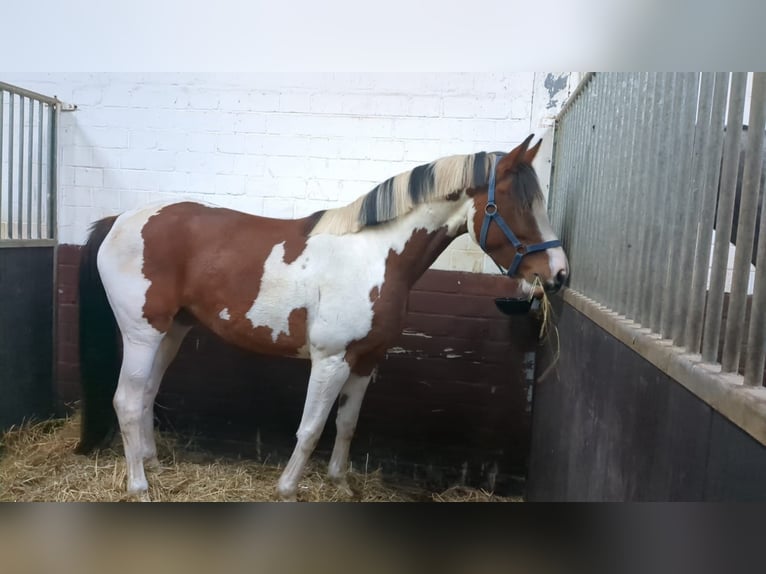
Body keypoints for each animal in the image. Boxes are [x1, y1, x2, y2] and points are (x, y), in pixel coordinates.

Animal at [75, 134, 568, 500]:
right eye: (515, 206)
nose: (558, 274)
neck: (376, 257)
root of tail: (118, 221)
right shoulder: (330, 360)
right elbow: (311, 428)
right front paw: (287, 488)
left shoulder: (367, 360)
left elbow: (346, 424)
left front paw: (340, 482)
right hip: (142, 333)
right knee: (126, 400)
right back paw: (139, 486)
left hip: (172, 331)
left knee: (146, 395)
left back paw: (154, 464)